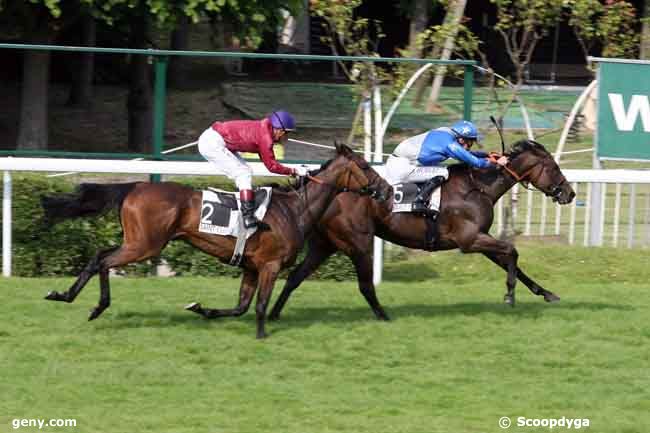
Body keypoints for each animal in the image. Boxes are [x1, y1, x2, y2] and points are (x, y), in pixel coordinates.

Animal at [40, 143, 374, 338]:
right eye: (365, 167)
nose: (378, 188)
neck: (293, 209)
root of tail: (136, 186)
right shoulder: (270, 265)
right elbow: (260, 305)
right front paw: (262, 335)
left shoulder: (251, 267)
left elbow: (240, 306)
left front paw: (201, 309)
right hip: (145, 245)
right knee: (105, 261)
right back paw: (97, 306)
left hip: (137, 241)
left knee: (100, 255)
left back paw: (66, 295)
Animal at [268, 139, 572, 320]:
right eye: (554, 167)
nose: (570, 193)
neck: (478, 187)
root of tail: (331, 189)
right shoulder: (470, 240)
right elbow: (513, 251)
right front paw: (509, 296)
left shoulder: (480, 239)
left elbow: (512, 262)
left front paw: (546, 293)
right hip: (357, 242)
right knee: (364, 284)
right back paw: (383, 315)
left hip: (324, 244)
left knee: (295, 277)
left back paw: (273, 313)